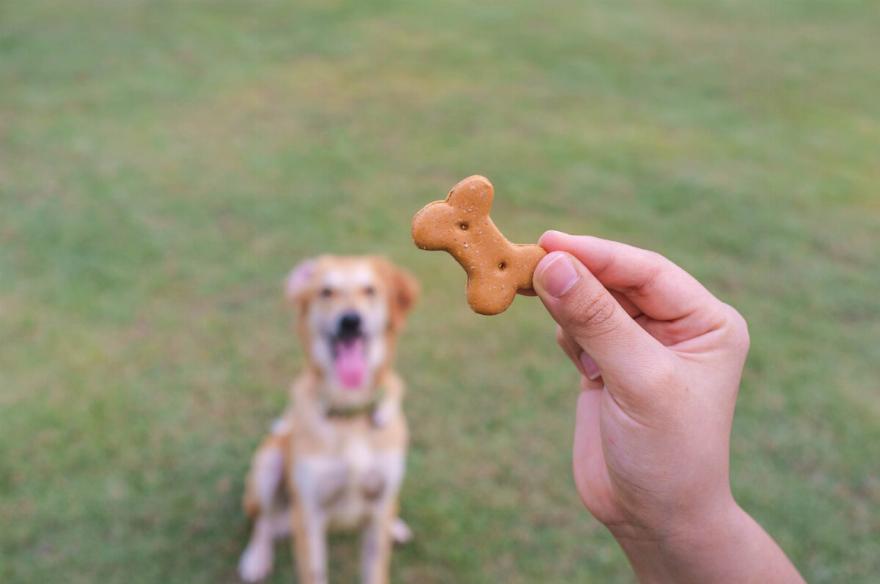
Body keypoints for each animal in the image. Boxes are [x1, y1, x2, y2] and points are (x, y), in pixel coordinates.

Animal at [238, 255, 419, 584]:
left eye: (370, 290)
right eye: (326, 292)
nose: (350, 321)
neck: (350, 412)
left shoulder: (379, 504)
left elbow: (375, 568)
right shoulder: (309, 515)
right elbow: (313, 571)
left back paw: (396, 526)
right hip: (268, 464)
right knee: (263, 521)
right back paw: (256, 557)